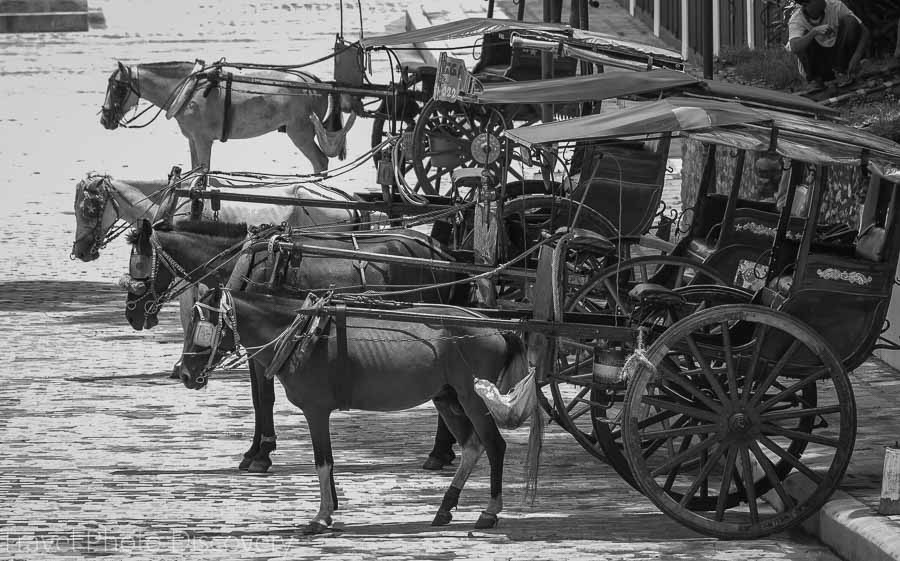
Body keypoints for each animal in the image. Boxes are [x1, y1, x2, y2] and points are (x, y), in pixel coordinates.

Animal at [100, 60, 356, 172]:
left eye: (118, 87)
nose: (104, 119)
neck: (190, 89)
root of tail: (319, 83)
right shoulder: (193, 140)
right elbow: (194, 172)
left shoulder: (203, 140)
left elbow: (203, 173)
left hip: (300, 132)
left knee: (320, 161)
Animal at [122, 219, 468, 472]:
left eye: (140, 266)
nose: (132, 314)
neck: (247, 263)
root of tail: (443, 253)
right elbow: (257, 398)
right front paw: (254, 451)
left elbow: (264, 398)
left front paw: (261, 454)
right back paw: (443, 451)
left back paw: (439, 452)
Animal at [178, 286, 528, 532]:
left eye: (200, 325)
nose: (182, 373)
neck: (302, 333)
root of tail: (493, 326)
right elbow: (327, 463)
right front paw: (330, 510)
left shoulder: (316, 410)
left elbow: (323, 462)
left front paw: (321, 517)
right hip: (448, 398)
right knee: (472, 446)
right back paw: (445, 507)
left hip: (473, 397)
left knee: (494, 445)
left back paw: (489, 511)